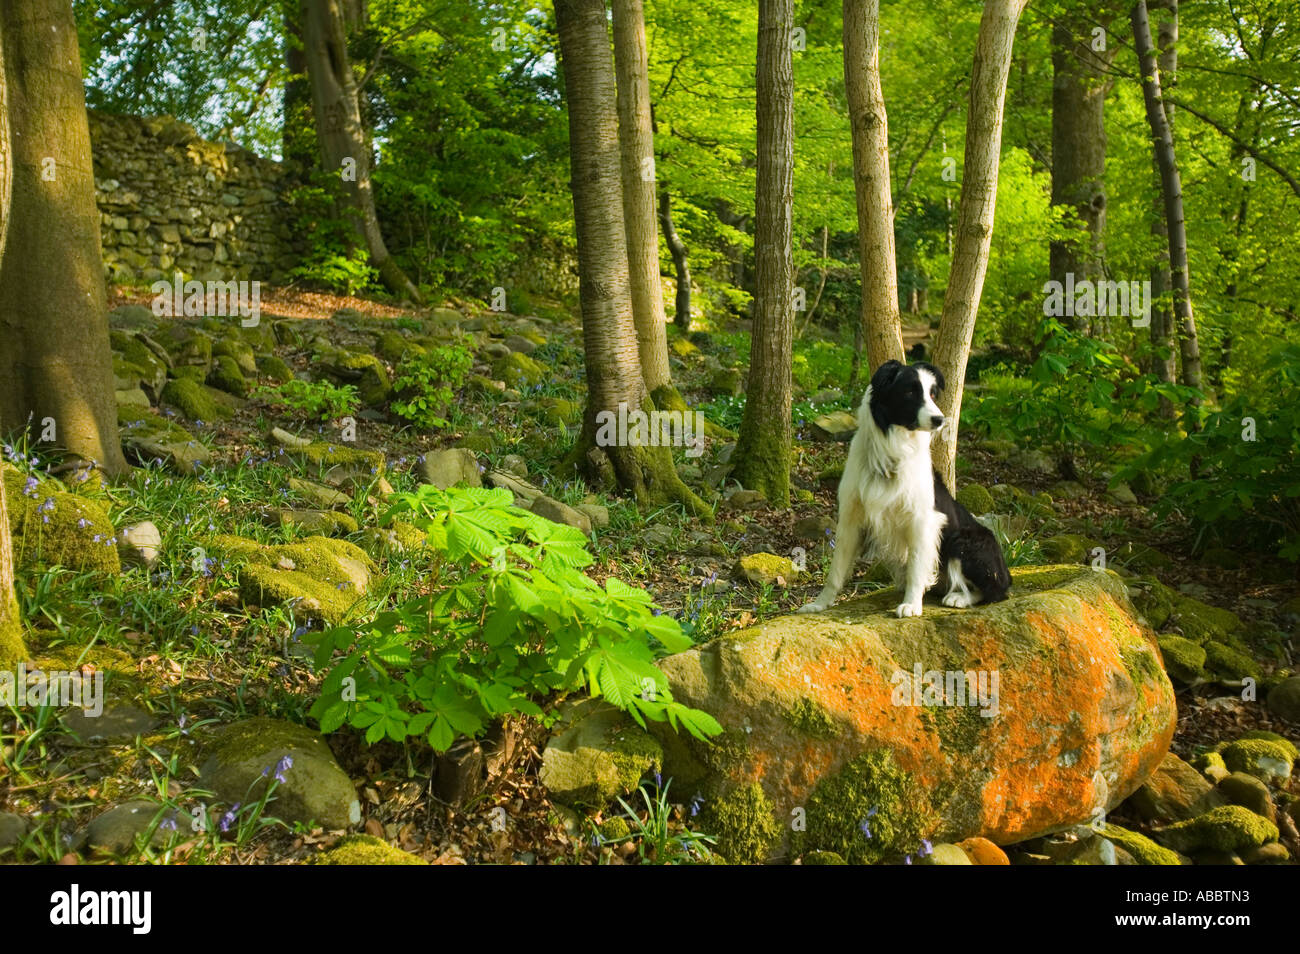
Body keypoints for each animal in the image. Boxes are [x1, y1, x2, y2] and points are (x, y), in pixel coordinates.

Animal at [790, 361, 1013, 621]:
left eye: (933, 394)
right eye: (910, 392)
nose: (940, 419)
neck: (892, 451)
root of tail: (1006, 571)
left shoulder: (923, 520)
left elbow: (916, 566)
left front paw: (911, 605)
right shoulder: (851, 518)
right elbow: (836, 571)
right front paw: (819, 604)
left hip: (966, 539)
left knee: (994, 591)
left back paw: (958, 597)